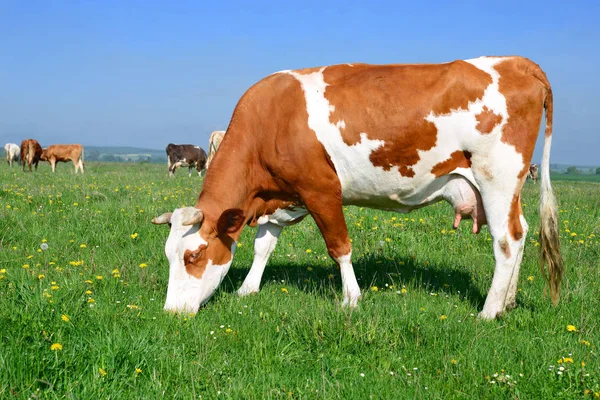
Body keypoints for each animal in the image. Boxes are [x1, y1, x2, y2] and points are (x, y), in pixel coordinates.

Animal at [151, 56, 564, 320]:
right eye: (169, 255)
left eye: (193, 256)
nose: (171, 313)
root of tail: (516, 61)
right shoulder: (281, 197)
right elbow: (263, 246)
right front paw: (247, 290)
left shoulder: (321, 190)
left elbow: (339, 247)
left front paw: (351, 299)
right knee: (522, 232)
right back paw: (508, 302)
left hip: (497, 176)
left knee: (507, 240)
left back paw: (489, 311)